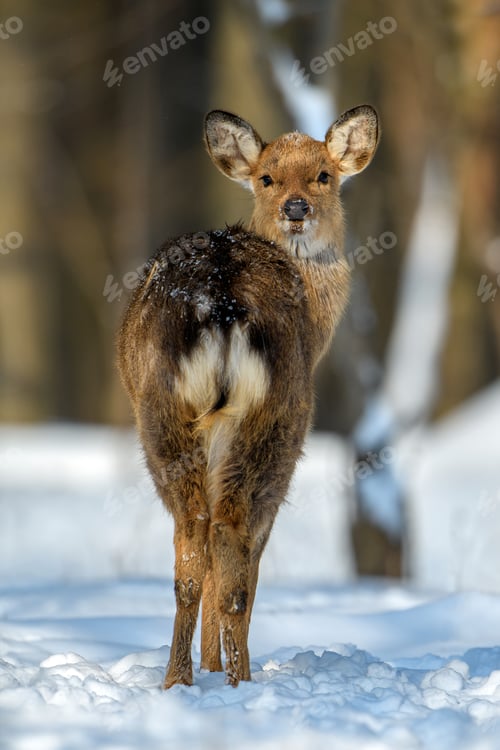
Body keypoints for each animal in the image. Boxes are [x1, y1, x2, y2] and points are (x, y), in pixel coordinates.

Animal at [117, 105, 379, 688]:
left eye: (323, 175)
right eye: (267, 178)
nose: (296, 208)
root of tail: (222, 300)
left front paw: (210, 669)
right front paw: (218, 668)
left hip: (171, 415)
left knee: (199, 541)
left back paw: (186, 680)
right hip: (276, 421)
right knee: (231, 545)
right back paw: (232, 680)